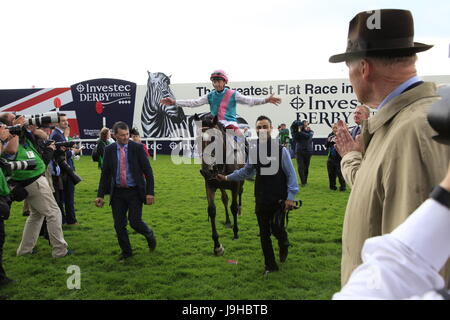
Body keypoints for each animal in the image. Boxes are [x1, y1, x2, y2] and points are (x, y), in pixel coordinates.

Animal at [193, 114, 244, 256]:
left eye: (213, 138)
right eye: (197, 140)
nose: (205, 171)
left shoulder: (235, 184)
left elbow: (233, 207)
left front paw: (236, 233)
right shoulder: (210, 185)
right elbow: (212, 210)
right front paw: (217, 246)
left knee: (240, 193)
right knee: (224, 199)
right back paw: (227, 221)